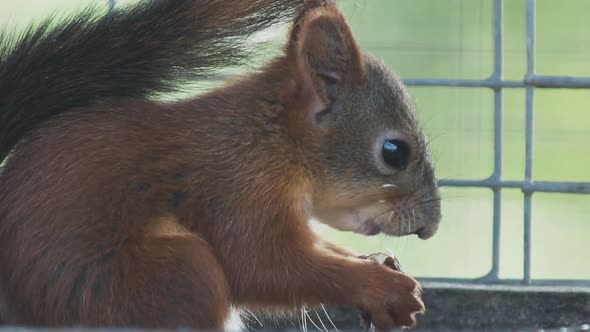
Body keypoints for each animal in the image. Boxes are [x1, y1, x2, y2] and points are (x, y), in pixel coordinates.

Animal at [0, 0, 442, 330]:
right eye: (395, 152)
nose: (431, 227)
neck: (272, 141)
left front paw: (378, 262)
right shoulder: (237, 189)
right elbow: (262, 268)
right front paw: (380, 286)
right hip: (161, 280)